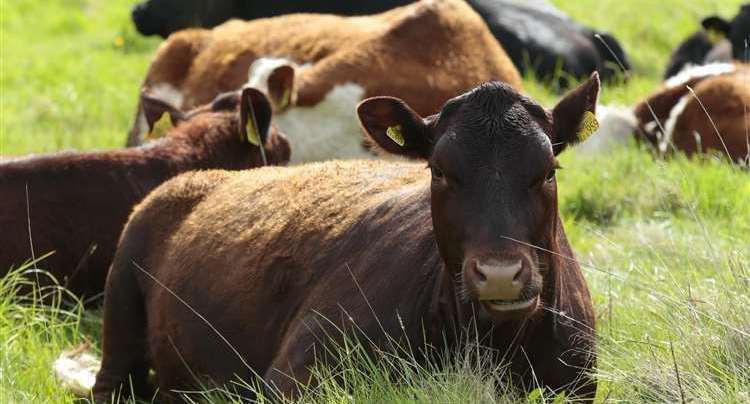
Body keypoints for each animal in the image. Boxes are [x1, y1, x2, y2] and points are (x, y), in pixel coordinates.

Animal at [86, 75, 604, 400]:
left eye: (548, 170)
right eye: (438, 170)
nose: (499, 273)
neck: (493, 344)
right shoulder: (292, 376)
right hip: (120, 314)